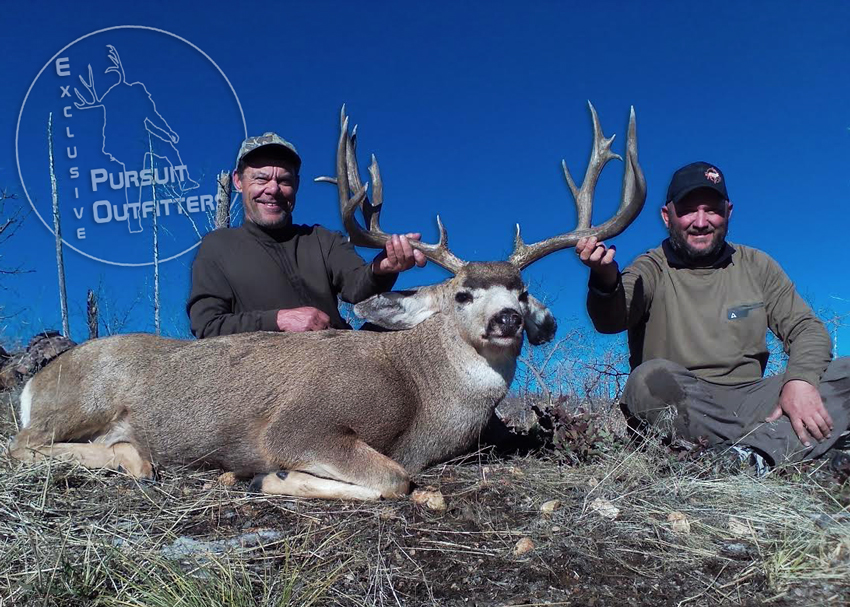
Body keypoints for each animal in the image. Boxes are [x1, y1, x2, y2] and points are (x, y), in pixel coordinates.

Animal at [9, 104, 644, 502]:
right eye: (463, 293)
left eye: (522, 291)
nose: (509, 320)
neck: (419, 397)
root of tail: (32, 383)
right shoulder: (298, 426)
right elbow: (394, 480)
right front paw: (269, 480)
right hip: (81, 402)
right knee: (23, 446)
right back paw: (138, 458)